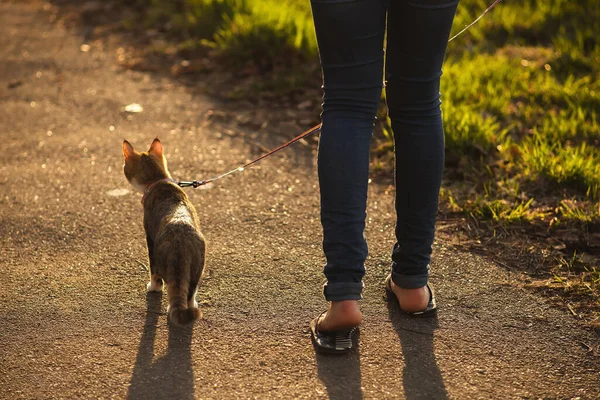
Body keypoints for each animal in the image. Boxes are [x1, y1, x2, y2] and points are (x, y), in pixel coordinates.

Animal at [122, 138, 206, 324]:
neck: (159, 182)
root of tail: (181, 241)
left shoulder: (150, 238)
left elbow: (153, 273)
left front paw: (152, 287)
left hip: (161, 256)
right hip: (198, 266)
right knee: (190, 292)